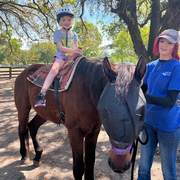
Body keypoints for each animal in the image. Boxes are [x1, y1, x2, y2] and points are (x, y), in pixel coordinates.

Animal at [14, 55, 146, 179]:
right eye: (107, 110)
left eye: (141, 112)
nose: (119, 164)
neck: (87, 91)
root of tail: (23, 73)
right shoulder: (75, 133)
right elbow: (78, 168)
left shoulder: (93, 131)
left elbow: (90, 163)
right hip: (23, 109)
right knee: (22, 129)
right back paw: (24, 156)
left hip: (44, 113)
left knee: (32, 127)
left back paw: (37, 155)